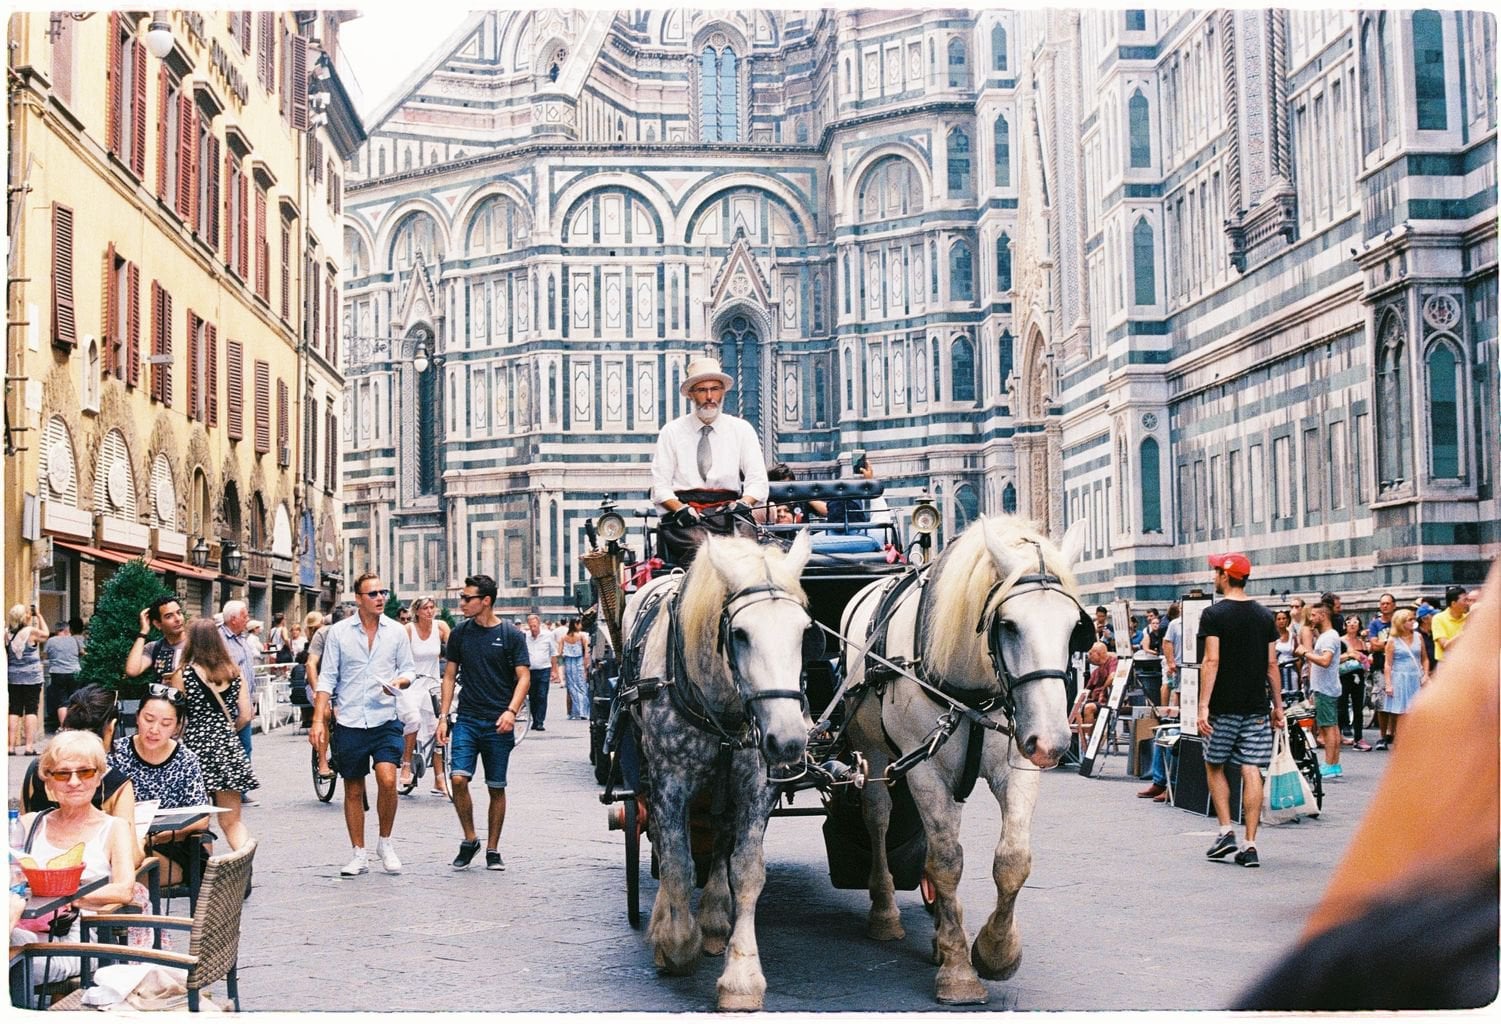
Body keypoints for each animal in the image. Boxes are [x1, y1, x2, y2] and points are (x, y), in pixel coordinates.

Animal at [618, 531, 816, 1008]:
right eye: (740, 634)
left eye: (805, 631)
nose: (789, 740)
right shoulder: (669, 781)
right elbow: (676, 862)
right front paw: (675, 943)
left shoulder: (757, 784)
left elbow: (746, 870)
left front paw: (741, 975)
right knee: (661, 839)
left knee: (721, 839)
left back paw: (711, 919)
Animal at [840, 513, 1086, 1002]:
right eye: (1008, 624)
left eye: (1075, 627)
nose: (1052, 742)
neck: (970, 687)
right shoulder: (925, 770)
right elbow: (948, 862)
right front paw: (958, 972)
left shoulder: (1017, 763)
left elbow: (1012, 859)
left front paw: (995, 952)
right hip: (874, 752)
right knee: (879, 818)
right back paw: (885, 912)